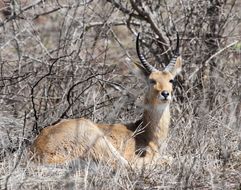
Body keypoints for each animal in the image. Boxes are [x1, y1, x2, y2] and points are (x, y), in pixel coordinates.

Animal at [31, 33, 183, 167]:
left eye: (171, 80)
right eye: (152, 80)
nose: (165, 94)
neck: (146, 133)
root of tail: (38, 149)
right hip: (101, 143)